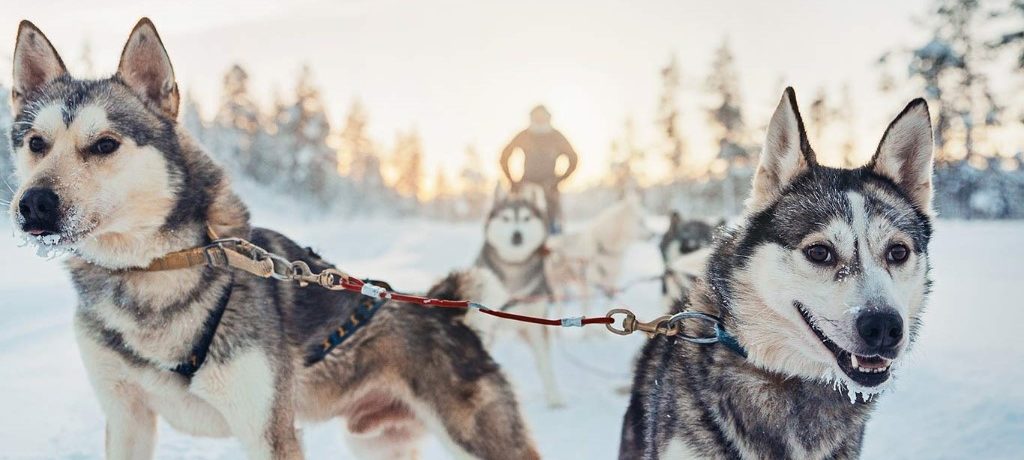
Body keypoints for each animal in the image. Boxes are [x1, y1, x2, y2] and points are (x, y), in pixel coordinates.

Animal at [12, 18, 540, 458]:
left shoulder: (267, 431)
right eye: (35, 143)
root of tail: (447, 310)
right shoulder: (127, 420)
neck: (154, 271)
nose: (33, 204)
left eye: (104, 144)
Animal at [468, 182, 565, 405]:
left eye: (526, 218)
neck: (513, 270)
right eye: (506, 218)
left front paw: (554, 397)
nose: (517, 235)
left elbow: (545, 363)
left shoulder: (537, 325)